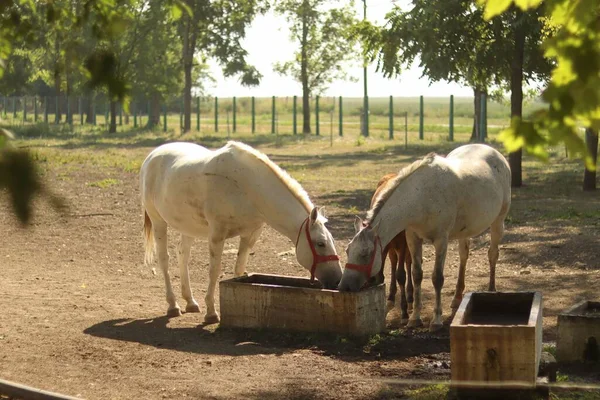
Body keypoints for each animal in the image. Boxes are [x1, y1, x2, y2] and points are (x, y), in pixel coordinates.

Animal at [138, 141, 340, 322]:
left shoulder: (250, 234)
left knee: (182, 255)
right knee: (164, 260)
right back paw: (173, 305)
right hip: (158, 221)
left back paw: (190, 302)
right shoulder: (217, 234)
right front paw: (211, 313)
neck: (247, 188)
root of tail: (151, 156)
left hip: (188, 227)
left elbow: (240, 268)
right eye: (321, 243)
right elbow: (214, 270)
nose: (337, 280)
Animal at [370, 173, 412, 324]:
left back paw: (410, 298)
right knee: (394, 262)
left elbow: (402, 274)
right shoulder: (385, 244)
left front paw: (404, 312)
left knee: (408, 263)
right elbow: (382, 274)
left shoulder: (404, 242)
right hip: (393, 246)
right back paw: (391, 297)